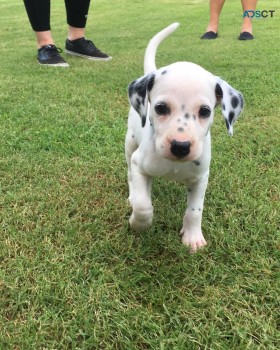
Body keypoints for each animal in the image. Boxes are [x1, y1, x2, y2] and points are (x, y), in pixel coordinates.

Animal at [126, 23, 244, 252]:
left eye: (205, 111)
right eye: (160, 108)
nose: (180, 146)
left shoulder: (201, 178)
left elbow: (194, 211)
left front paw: (192, 237)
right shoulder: (138, 164)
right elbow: (143, 205)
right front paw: (138, 223)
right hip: (129, 144)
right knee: (129, 174)